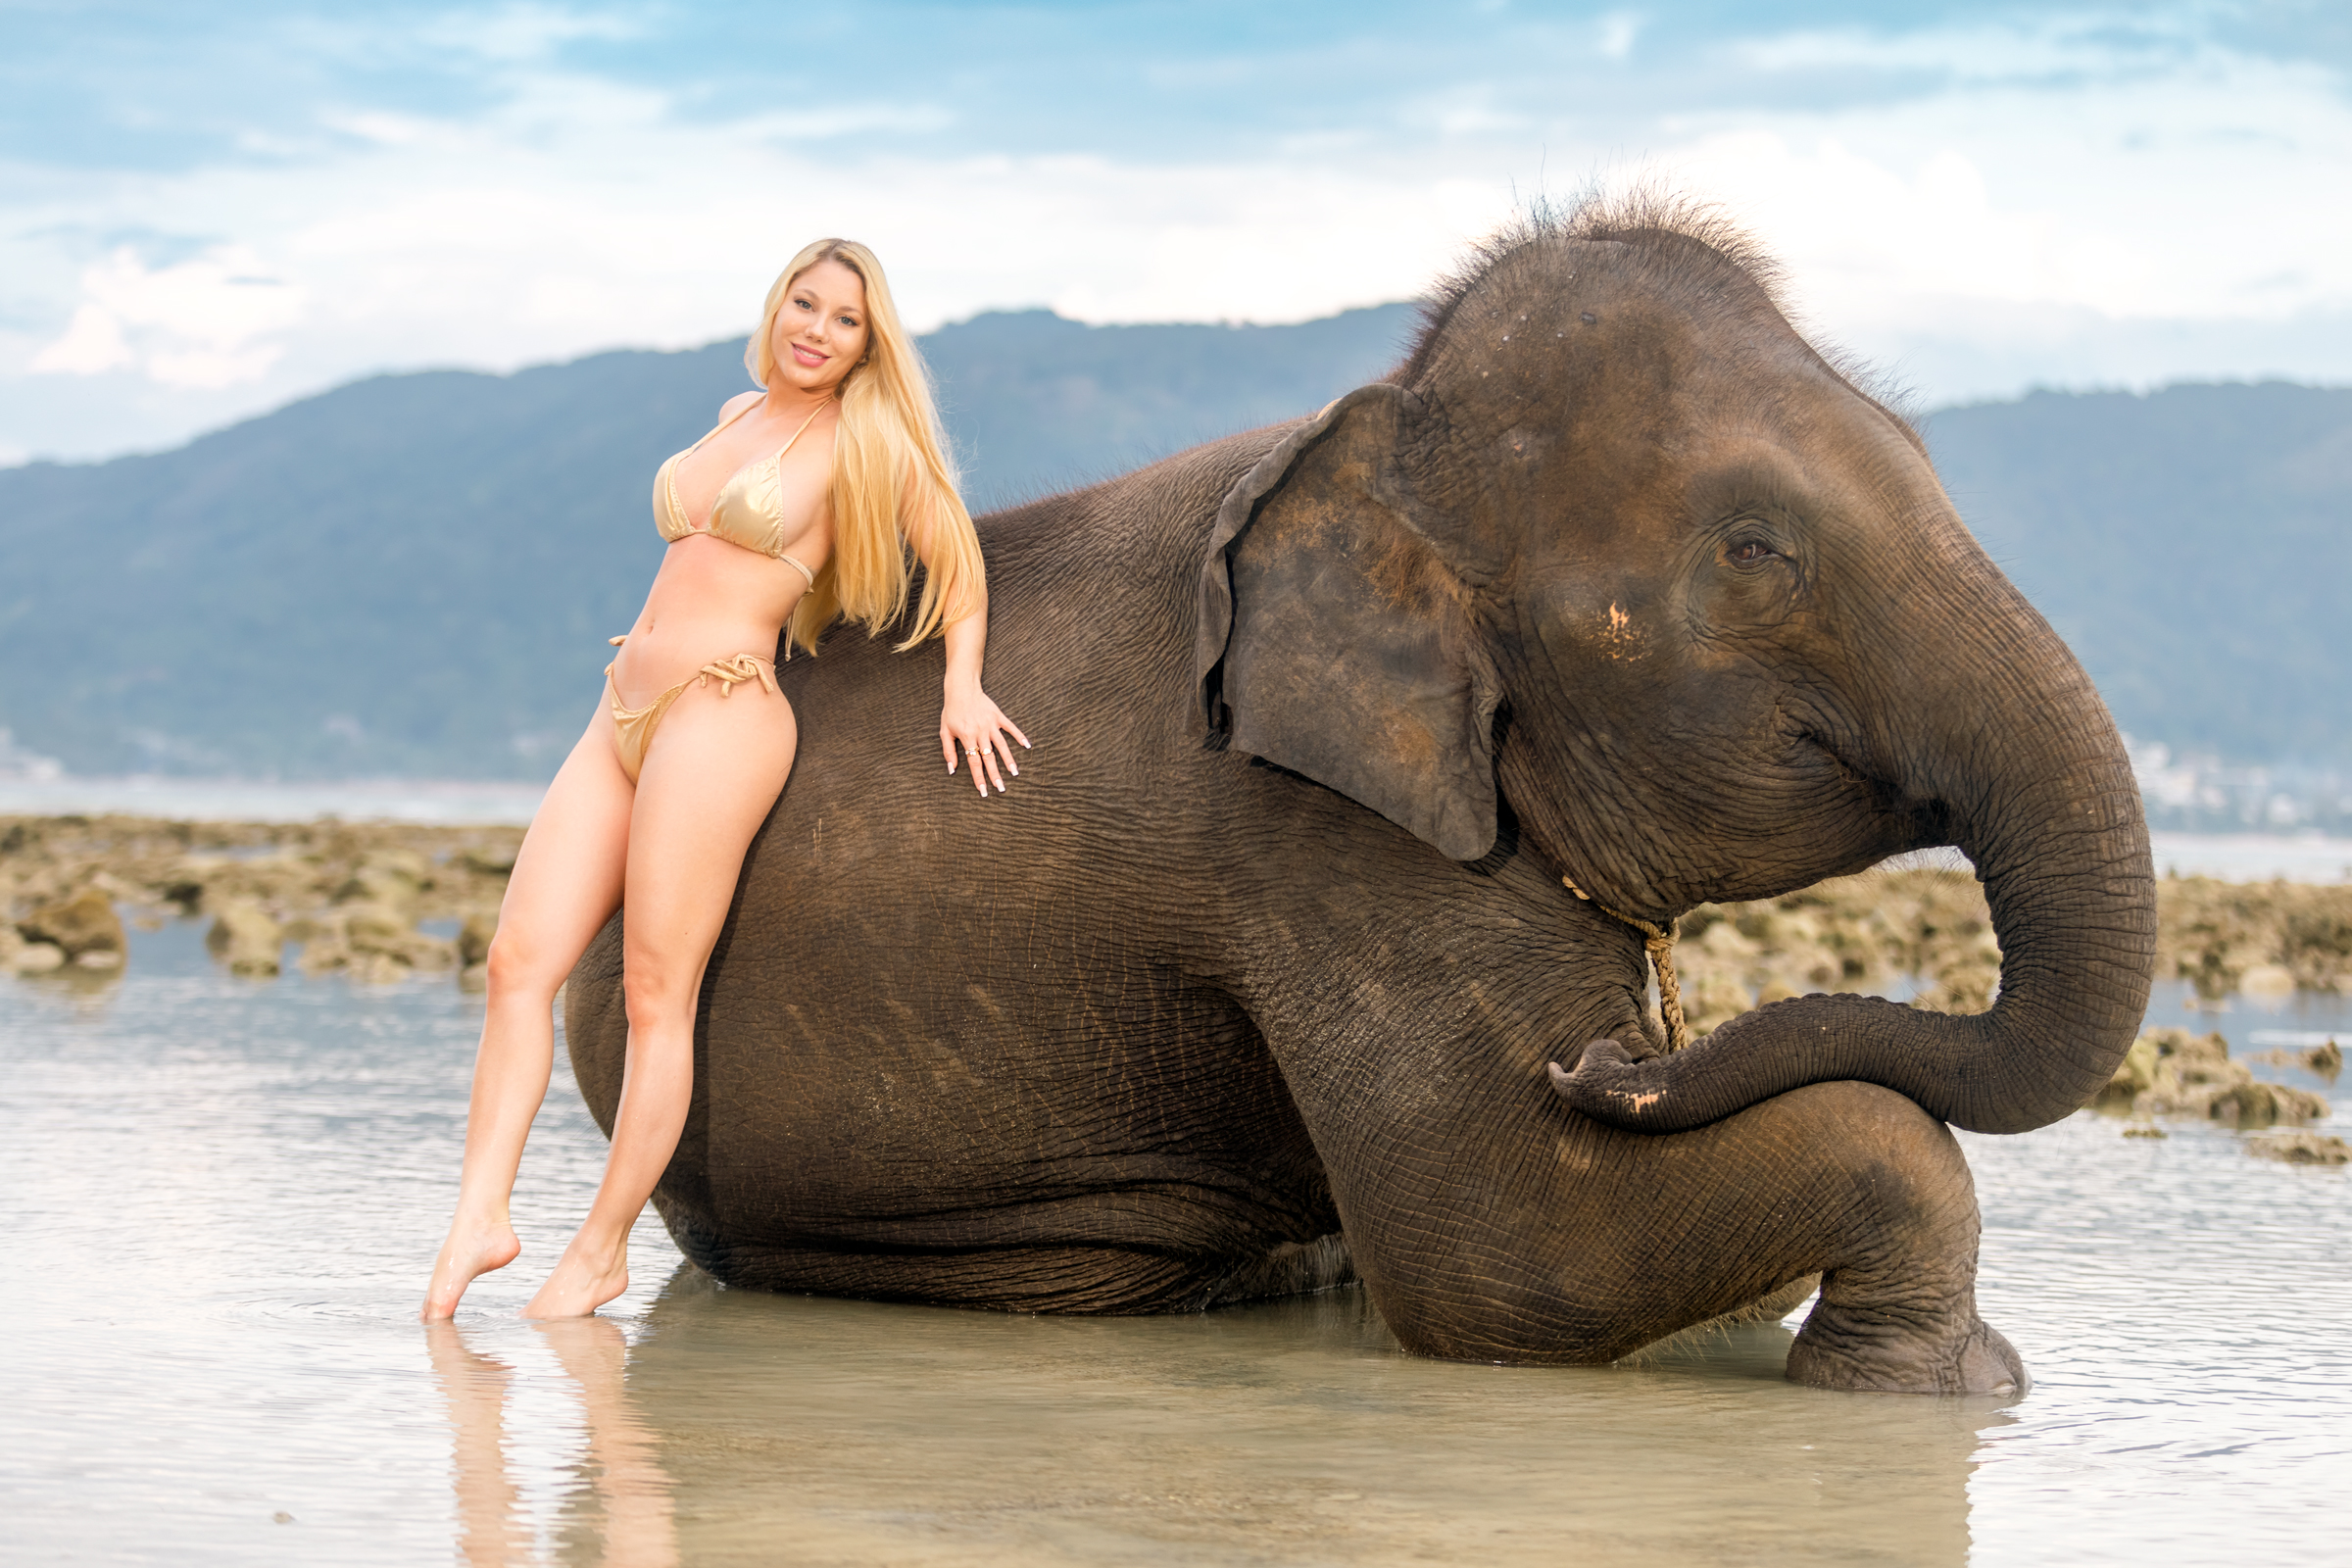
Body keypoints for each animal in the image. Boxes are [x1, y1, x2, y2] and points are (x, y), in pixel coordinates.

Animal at [565, 196, 2155, 1394]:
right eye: (1757, 551)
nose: (1607, 1057)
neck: (1383, 436)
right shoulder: (1318, 853)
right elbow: (1506, 1254)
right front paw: (1938, 1385)